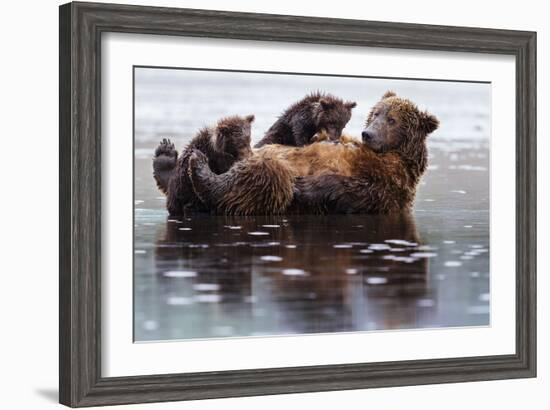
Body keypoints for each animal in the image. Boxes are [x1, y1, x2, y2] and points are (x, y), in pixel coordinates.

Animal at [189, 91, 440, 215]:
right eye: (376, 113)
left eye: (392, 120)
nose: (367, 134)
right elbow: (278, 136)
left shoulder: (393, 180)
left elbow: (359, 191)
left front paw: (305, 186)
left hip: (268, 179)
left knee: (263, 178)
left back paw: (197, 164)